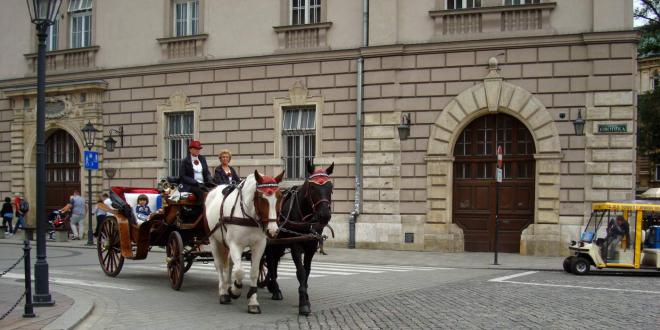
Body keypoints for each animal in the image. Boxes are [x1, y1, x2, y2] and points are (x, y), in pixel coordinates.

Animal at [204, 170, 282, 314]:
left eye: (280, 197)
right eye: (261, 198)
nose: (273, 231)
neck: (249, 216)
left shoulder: (259, 246)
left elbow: (254, 272)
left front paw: (253, 301)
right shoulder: (235, 245)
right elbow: (240, 271)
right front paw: (235, 291)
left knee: (229, 263)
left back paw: (228, 284)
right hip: (213, 241)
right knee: (219, 265)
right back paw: (224, 292)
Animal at [264, 161, 336, 316]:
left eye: (330, 187)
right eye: (313, 187)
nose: (325, 215)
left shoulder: (311, 246)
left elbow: (307, 271)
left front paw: (306, 297)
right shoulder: (295, 245)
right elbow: (301, 272)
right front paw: (303, 303)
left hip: (278, 244)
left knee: (273, 261)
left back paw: (272, 286)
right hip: (270, 243)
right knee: (270, 262)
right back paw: (275, 289)